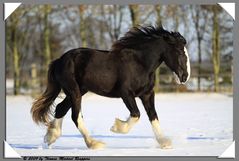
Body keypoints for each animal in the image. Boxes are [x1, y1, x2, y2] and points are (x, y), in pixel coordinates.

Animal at [30, 25, 190, 150]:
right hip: (74, 91)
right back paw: (94, 144)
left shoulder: (147, 94)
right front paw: (116, 127)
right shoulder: (126, 93)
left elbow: (153, 116)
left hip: (78, 91)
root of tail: (59, 60)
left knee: (61, 108)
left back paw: (51, 137)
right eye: (180, 51)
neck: (140, 63)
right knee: (75, 116)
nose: (185, 77)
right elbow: (136, 114)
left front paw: (165, 143)